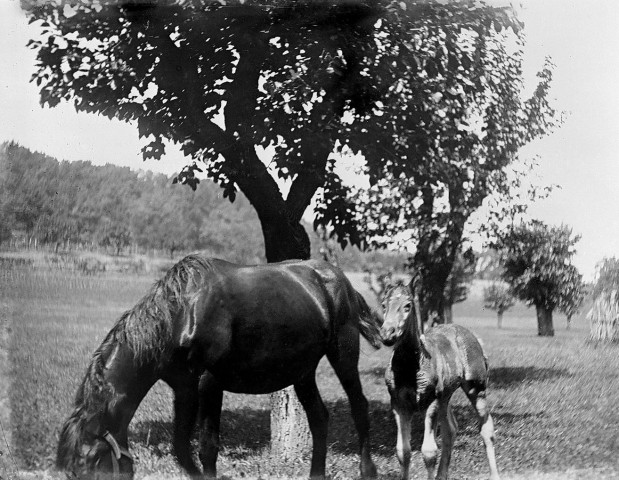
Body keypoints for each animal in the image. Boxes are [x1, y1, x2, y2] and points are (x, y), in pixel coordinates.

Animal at [57, 256, 382, 480]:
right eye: (73, 472)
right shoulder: (184, 389)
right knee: (319, 418)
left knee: (359, 406)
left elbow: (207, 448)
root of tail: (339, 279)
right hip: (302, 373)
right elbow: (182, 449)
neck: (182, 315)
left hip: (343, 355)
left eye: (92, 463)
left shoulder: (209, 384)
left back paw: (368, 471)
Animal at [380, 284, 502, 480]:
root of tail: (472, 336)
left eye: (407, 306)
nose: (387, 334)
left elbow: (429, 452)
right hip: (445, 397)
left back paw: (494, 474)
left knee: (487, 429)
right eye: (384, 305)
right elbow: (403, 451)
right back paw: (442, 475)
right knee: (451, 430)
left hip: (476, 390)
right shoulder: (399, 405)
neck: (410, 367)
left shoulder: (431, 402)